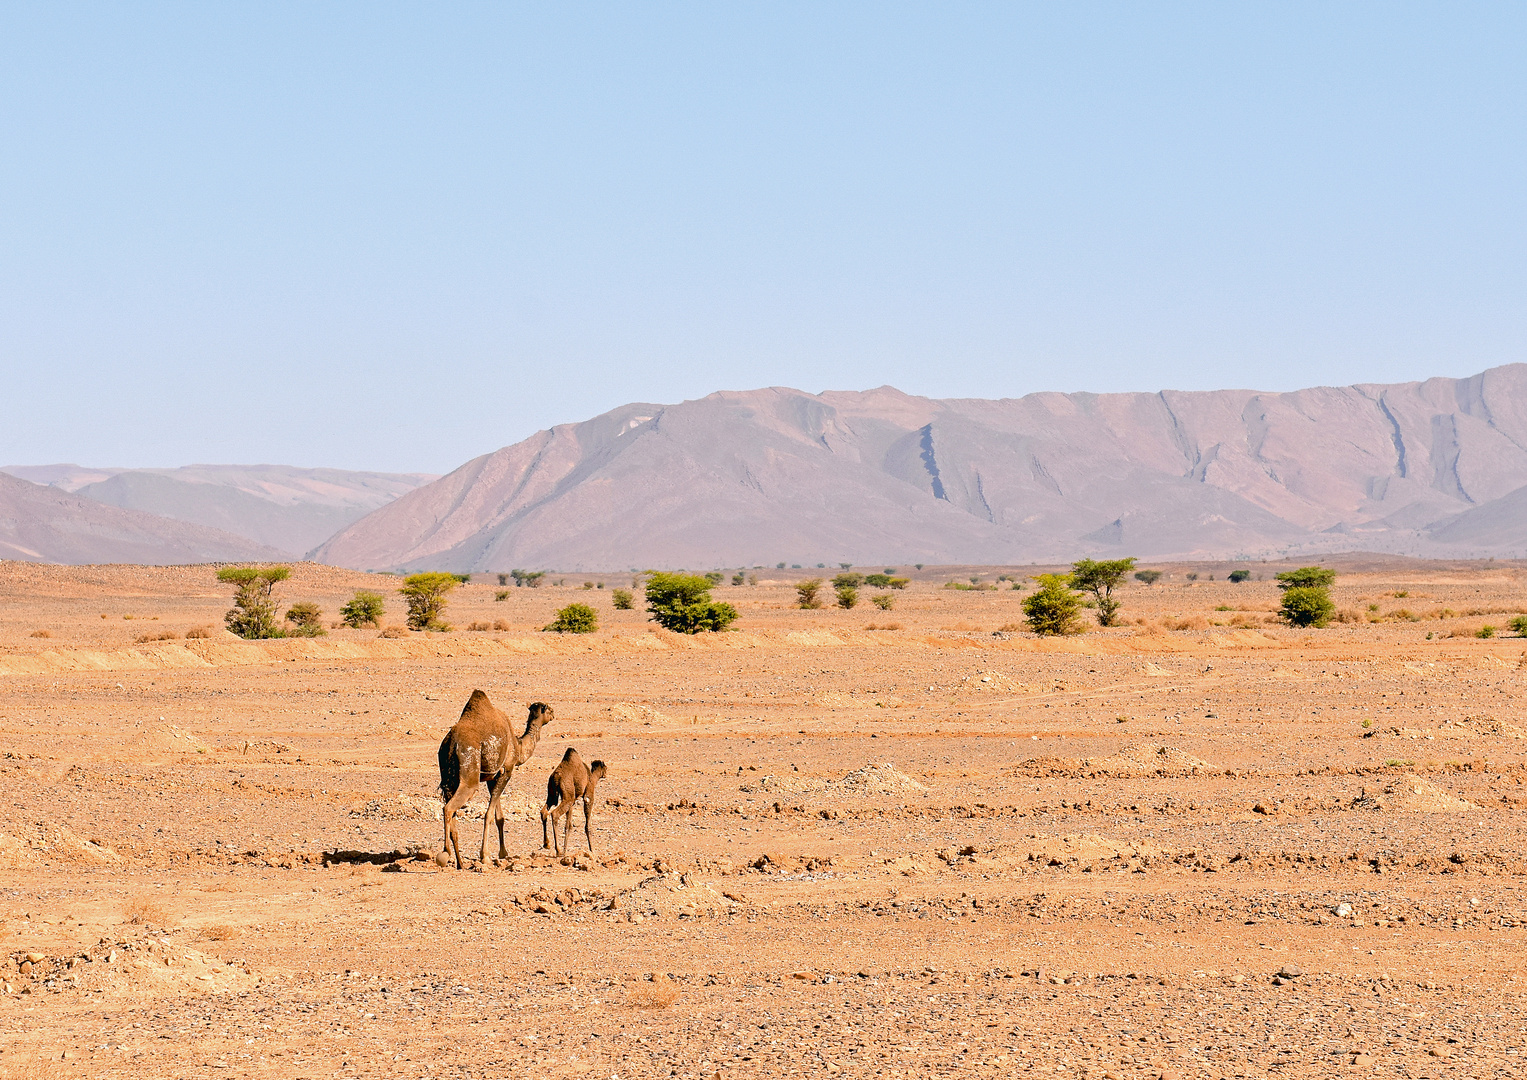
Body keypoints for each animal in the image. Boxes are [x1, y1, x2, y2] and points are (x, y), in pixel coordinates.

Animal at [436, 693, 555, 879]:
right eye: (548, 709)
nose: (554, 713)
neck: (518, 746)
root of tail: (451, 744)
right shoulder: (507, 770)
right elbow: (489, 815)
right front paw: (485, 856)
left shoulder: (493, 777)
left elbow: (500, 817)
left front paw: (503, 854)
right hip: (469, 773)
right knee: (448, 808)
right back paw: (444, 854)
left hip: (448, 777)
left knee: (451, 808)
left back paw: (460, 863)